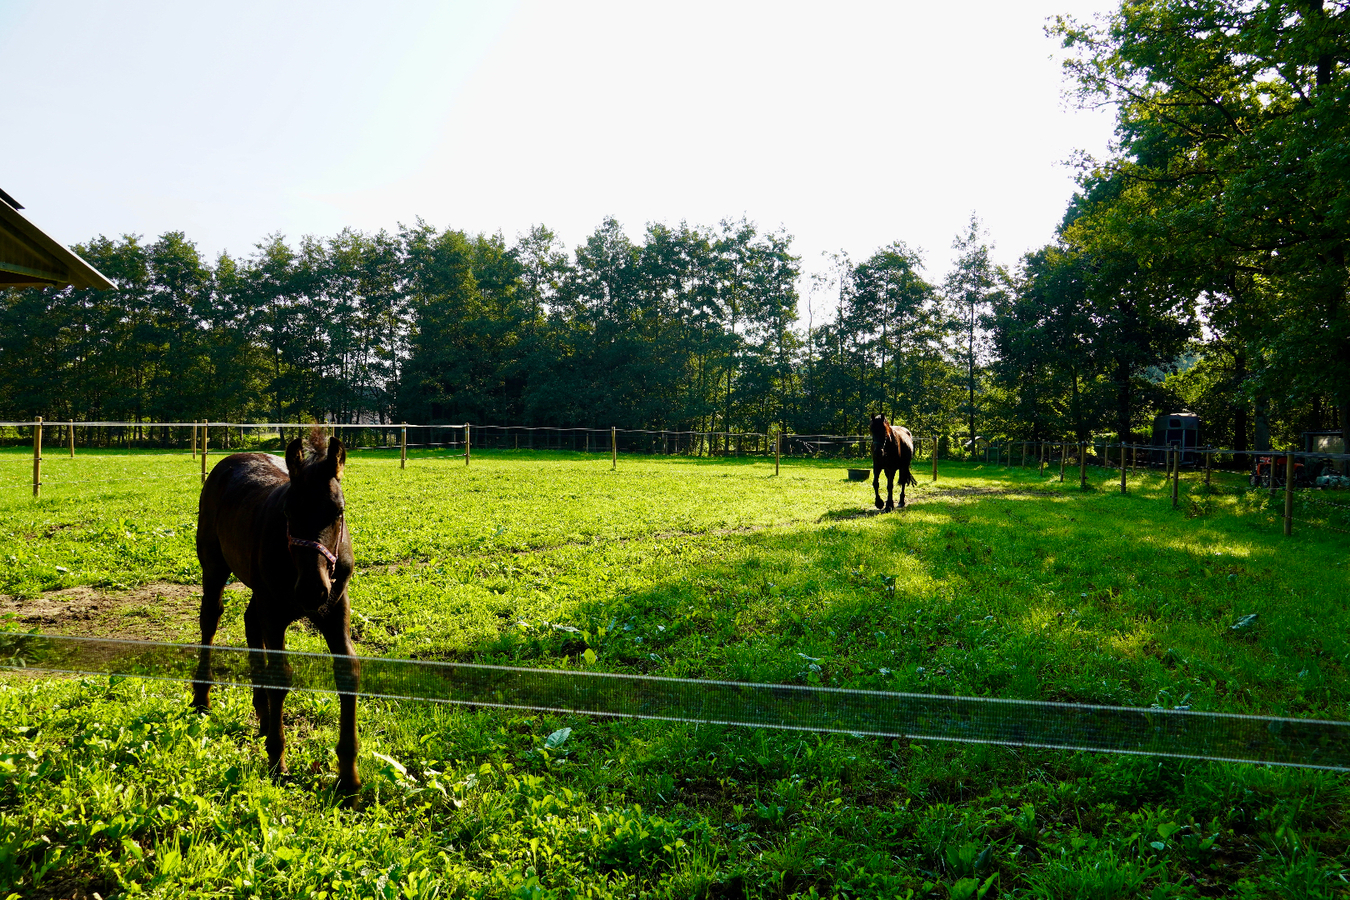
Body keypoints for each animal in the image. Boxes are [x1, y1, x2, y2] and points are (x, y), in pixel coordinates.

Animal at [190, 437, 361, 793]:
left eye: (338, 511)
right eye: (288, 512)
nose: (311, 591)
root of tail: (232, 458)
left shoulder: (336, 609)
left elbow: (347, 673)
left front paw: (349, 780)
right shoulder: (275, 612)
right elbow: (280, 676)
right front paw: (277, 762)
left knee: (249, 622)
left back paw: (264, 714)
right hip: (214, 568)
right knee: (210, 618)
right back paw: (202, 699)